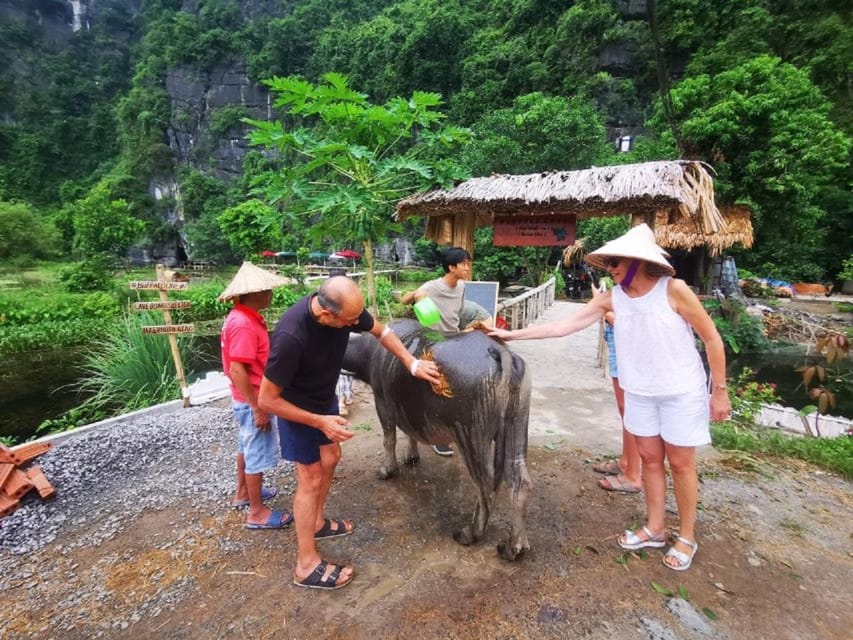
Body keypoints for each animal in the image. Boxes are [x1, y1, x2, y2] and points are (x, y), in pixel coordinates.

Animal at [342, 320, 532, 560]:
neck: (371, 350)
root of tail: (497, 350)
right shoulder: (408, 410)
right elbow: (410, 432)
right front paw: (411, 456)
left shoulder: (382, 403)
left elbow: (389, 439)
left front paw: (387, 470)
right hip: (517, 424)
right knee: (519, 480)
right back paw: (513, 546)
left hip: (471, 434)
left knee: (486, 485)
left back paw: (470, 533)